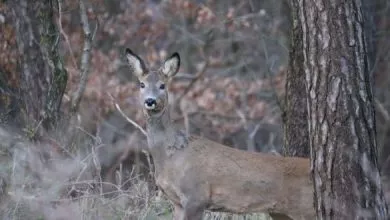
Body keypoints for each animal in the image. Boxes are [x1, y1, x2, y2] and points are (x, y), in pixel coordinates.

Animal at [126, 48, 316, 220]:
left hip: (305, 209)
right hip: (280, 212)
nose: (150, 101)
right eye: (141, 84)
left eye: (162, 85)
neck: (171, 154)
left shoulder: (196, 195)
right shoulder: (177, 201)